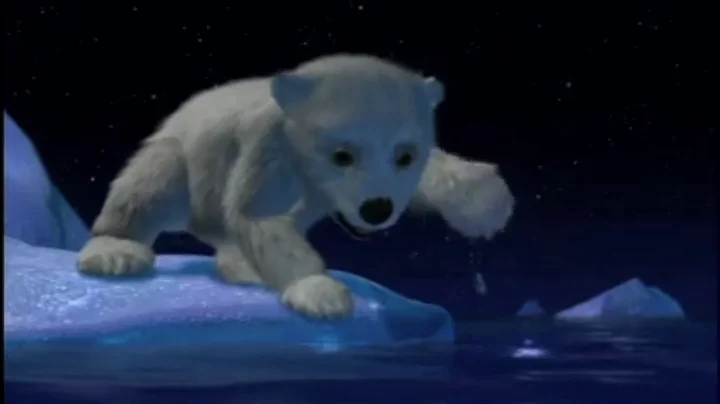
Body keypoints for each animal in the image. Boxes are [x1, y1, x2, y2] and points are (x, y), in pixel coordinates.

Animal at [77, 54, 515, 319]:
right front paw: (321, 292)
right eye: (341, 154)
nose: (377, 209)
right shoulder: (269, 148)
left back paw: (242, 266)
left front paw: (485, 204)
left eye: (404, 154)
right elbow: (260, 214)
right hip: (180, 158)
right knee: (150, 186)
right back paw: (116, 252)